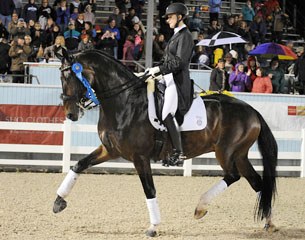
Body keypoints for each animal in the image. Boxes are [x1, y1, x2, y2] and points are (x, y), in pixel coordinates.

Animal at [53, 49, 276, 237]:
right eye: (61, 77)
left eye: (69, 77)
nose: (71, 114)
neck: (125, 102)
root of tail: (252, 110)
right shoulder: (110, 150)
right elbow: (79, 164)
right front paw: (58, 202)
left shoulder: (140, 157)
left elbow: (149, 190)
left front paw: (153, 227)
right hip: (240, 155)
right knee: (257, 183)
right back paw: (269, 223)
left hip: (225, 152)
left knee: (233, 176)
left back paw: (201, 207)